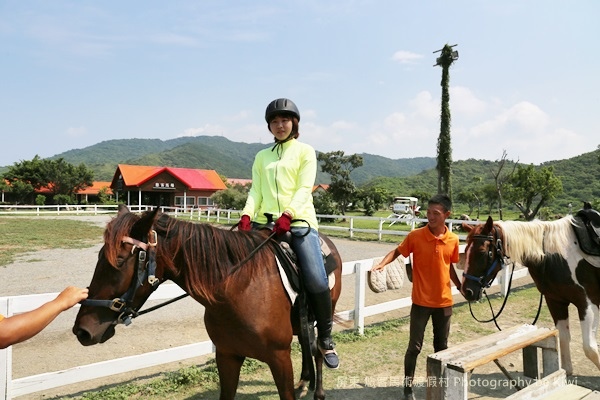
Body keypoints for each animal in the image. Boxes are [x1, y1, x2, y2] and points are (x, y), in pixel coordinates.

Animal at [72, 206, 342, 400]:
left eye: (118, 261)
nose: (82, 331)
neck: (240, 290)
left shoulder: (280, 358)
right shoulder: (227, 355)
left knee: (318, 347)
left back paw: (319, 387)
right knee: (307, 343)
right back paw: (304, 382)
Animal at [462, 216, 600, 376]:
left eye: (483, 252)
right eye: (465, 250)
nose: (467, 291)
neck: (556, 256)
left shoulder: (588, 303)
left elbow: (590, 348)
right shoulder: (556, 302)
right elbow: (564, 338)